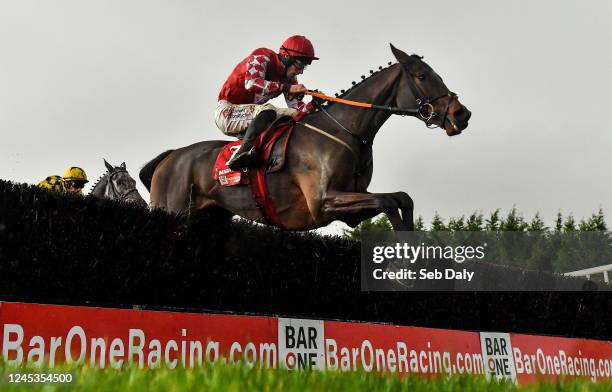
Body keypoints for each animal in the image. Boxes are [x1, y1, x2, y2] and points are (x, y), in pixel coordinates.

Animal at [140, 44, 474, 231]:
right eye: (422, 76)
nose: (462, 114)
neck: (345, 130)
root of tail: (169, 156)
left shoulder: (354, 202)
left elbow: (401, 197)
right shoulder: (323, 201)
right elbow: (387, 201)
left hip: (211, 217)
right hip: (173, 207)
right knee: (265, 111)